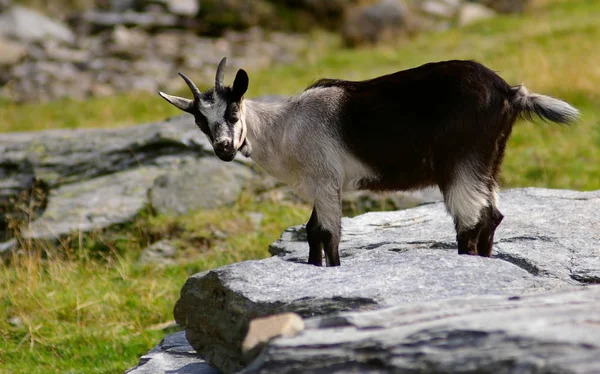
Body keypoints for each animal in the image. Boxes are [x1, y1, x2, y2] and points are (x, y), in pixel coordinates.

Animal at [157, 57, 580, 268]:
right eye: (199, 121)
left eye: (233, 112)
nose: (224, 148)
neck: (285, 126)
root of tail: (510, 92)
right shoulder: (323, 183)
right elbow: (311, 232)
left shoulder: (325, 179)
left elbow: (328, 234)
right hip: (490, 160)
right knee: (492, 215)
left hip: (461, 161)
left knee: (469, 220)